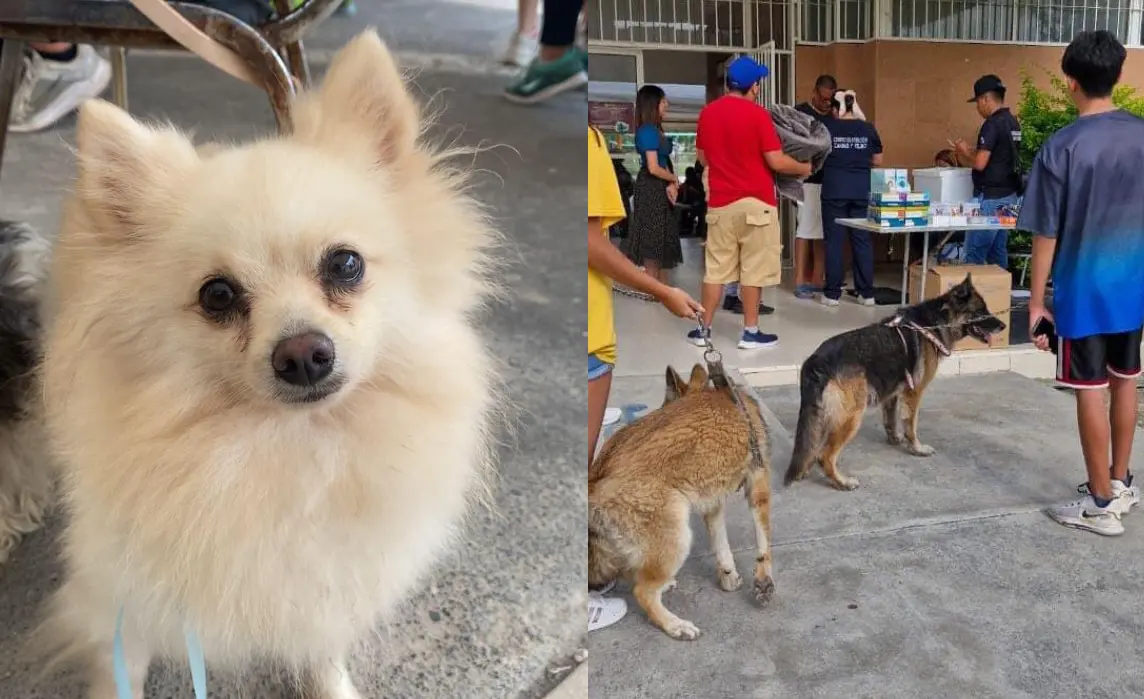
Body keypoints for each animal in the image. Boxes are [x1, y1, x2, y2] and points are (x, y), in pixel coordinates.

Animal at [38, 30, 496, 695]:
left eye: (346, 264)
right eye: (217, 295)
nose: (303, 354)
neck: (287, 454)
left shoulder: (325, 585)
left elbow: (321, 647)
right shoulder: (120, 592)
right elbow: (121, 667)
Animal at [590, 363, 768, 640]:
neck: (723, 394)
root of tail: (595, 481)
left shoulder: (712, 502)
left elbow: (721, 545)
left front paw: (728, 576)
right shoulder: (758, 489)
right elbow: (763, 545)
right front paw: (764, 580)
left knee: (636, 573)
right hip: (678, 536)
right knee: (642, 591)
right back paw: (673, 624)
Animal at [782, 274, 1006, 491]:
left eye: (986, 309)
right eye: (981, 312)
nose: (1003, 326)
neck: (935, 321)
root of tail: (817, 359)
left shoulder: (892, 393)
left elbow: (890, 420)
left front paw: (894, 439)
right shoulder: (914, 392)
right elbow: (911, 424)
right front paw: (916, 448)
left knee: (812, 445)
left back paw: (805, 469)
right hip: (852, 416)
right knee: (825, 455)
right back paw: (842, 482)